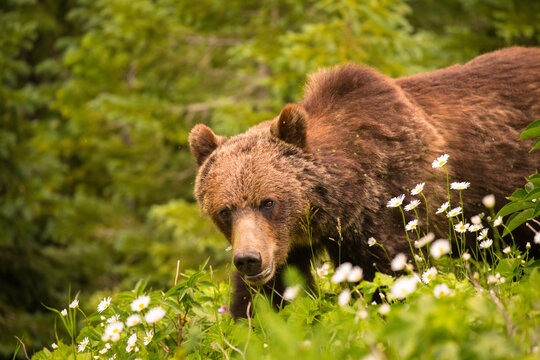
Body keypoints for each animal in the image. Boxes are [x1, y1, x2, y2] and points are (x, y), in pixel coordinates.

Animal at [189, 47, 540, 318]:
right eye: (224, 210)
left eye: (268, 202)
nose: (249, 259)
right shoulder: (282, 247)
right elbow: (267, 299)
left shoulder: (386, 208)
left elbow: (385, 281)